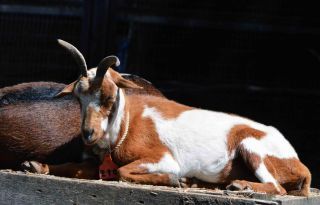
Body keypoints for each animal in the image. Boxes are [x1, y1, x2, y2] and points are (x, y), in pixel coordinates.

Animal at [57, 40, 310, 197]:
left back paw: (240, 186)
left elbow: (122, 172)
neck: (126, 123)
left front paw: (173, 180)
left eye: (109, 96)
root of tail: (299, 164)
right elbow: (72, 166)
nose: (88, 133)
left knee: (278, 188)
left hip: (252, 146)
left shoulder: (164, 158)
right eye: (78, 97)